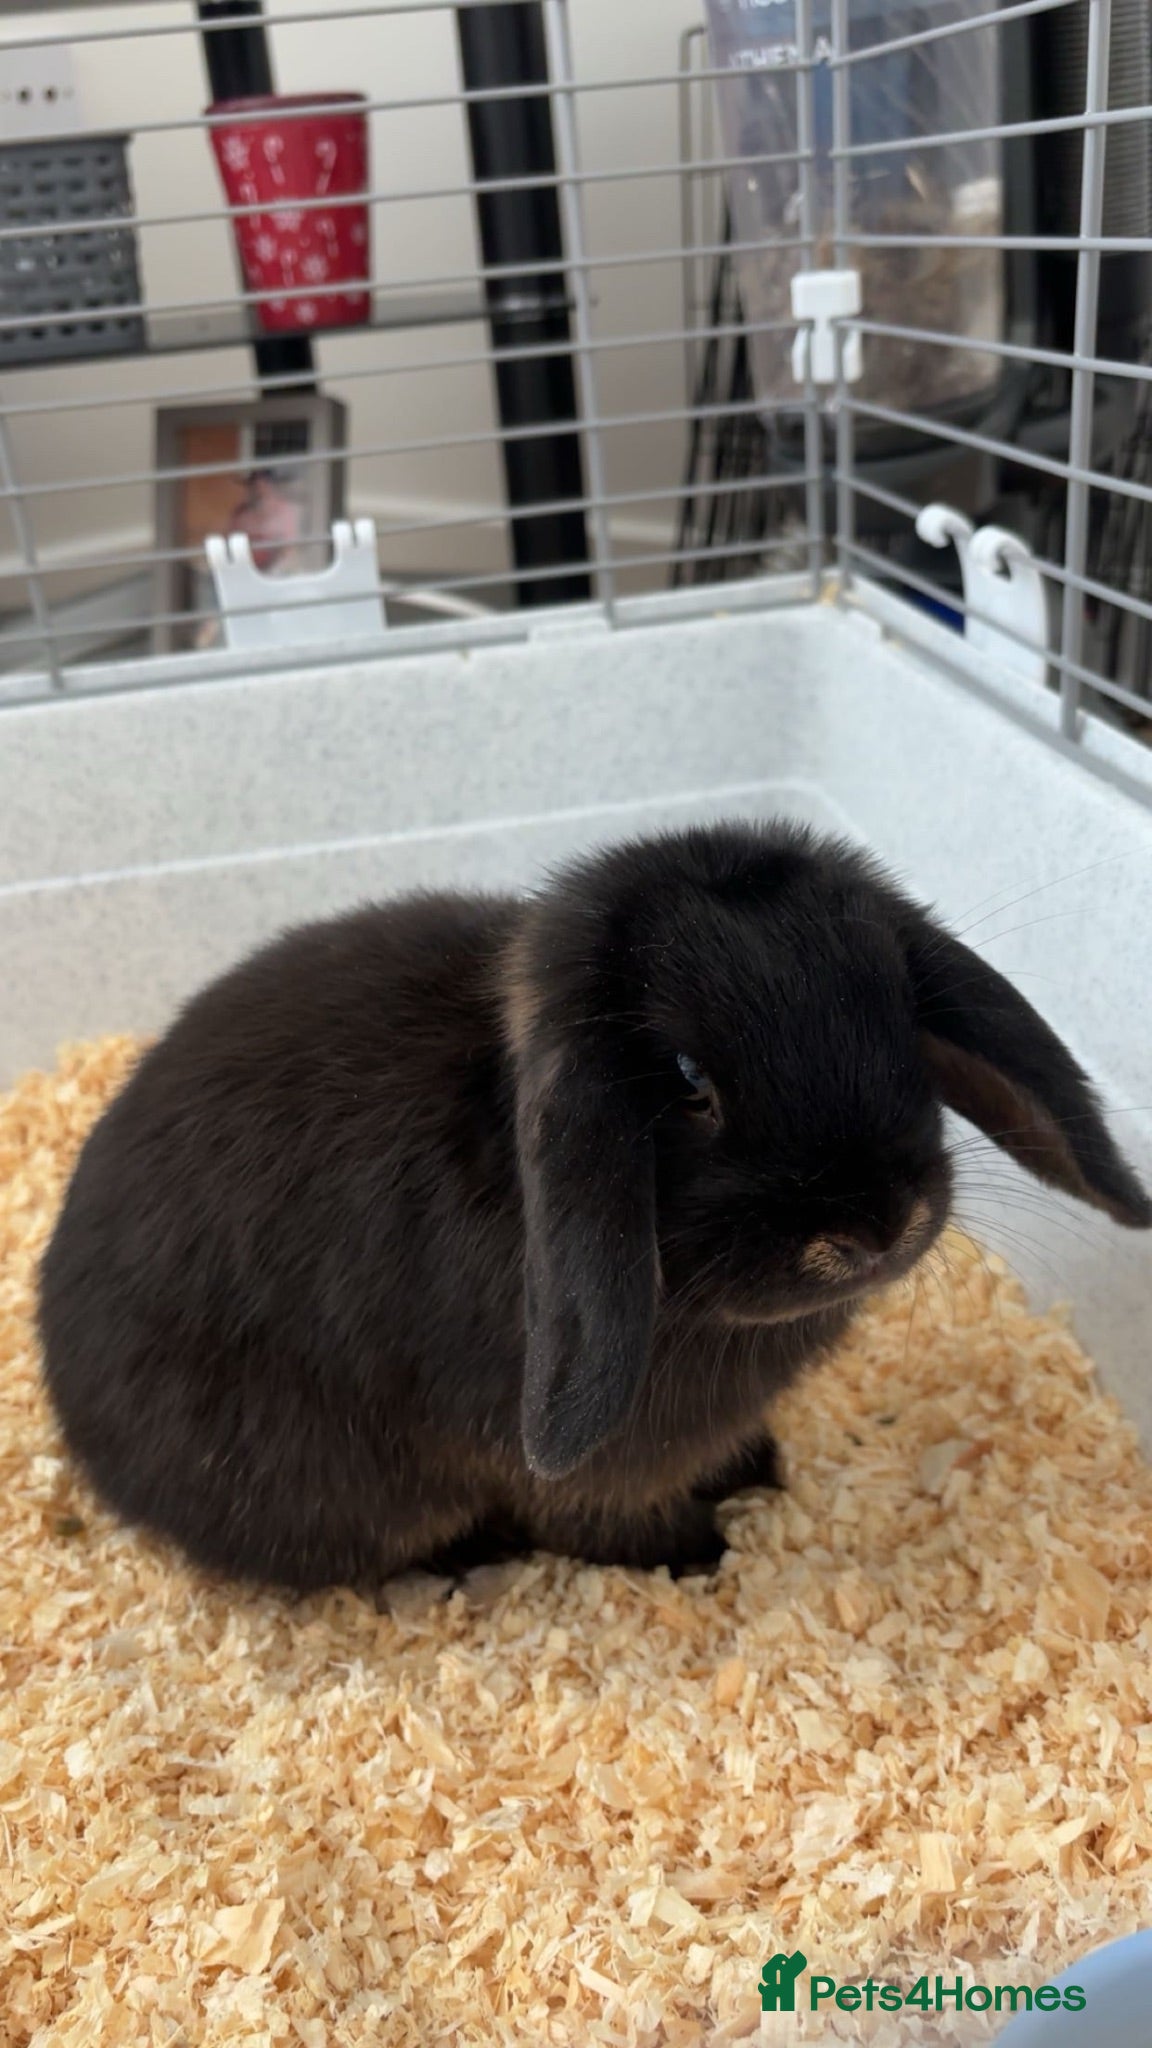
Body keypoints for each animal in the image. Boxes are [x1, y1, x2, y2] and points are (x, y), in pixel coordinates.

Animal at [38, 821, 1150, 1593]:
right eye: (689, 1081)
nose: (872, 1228)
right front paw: (697, 1550)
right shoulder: (568, 1468)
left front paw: (757, 1469)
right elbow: (595, 1515)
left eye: (899, 1012)